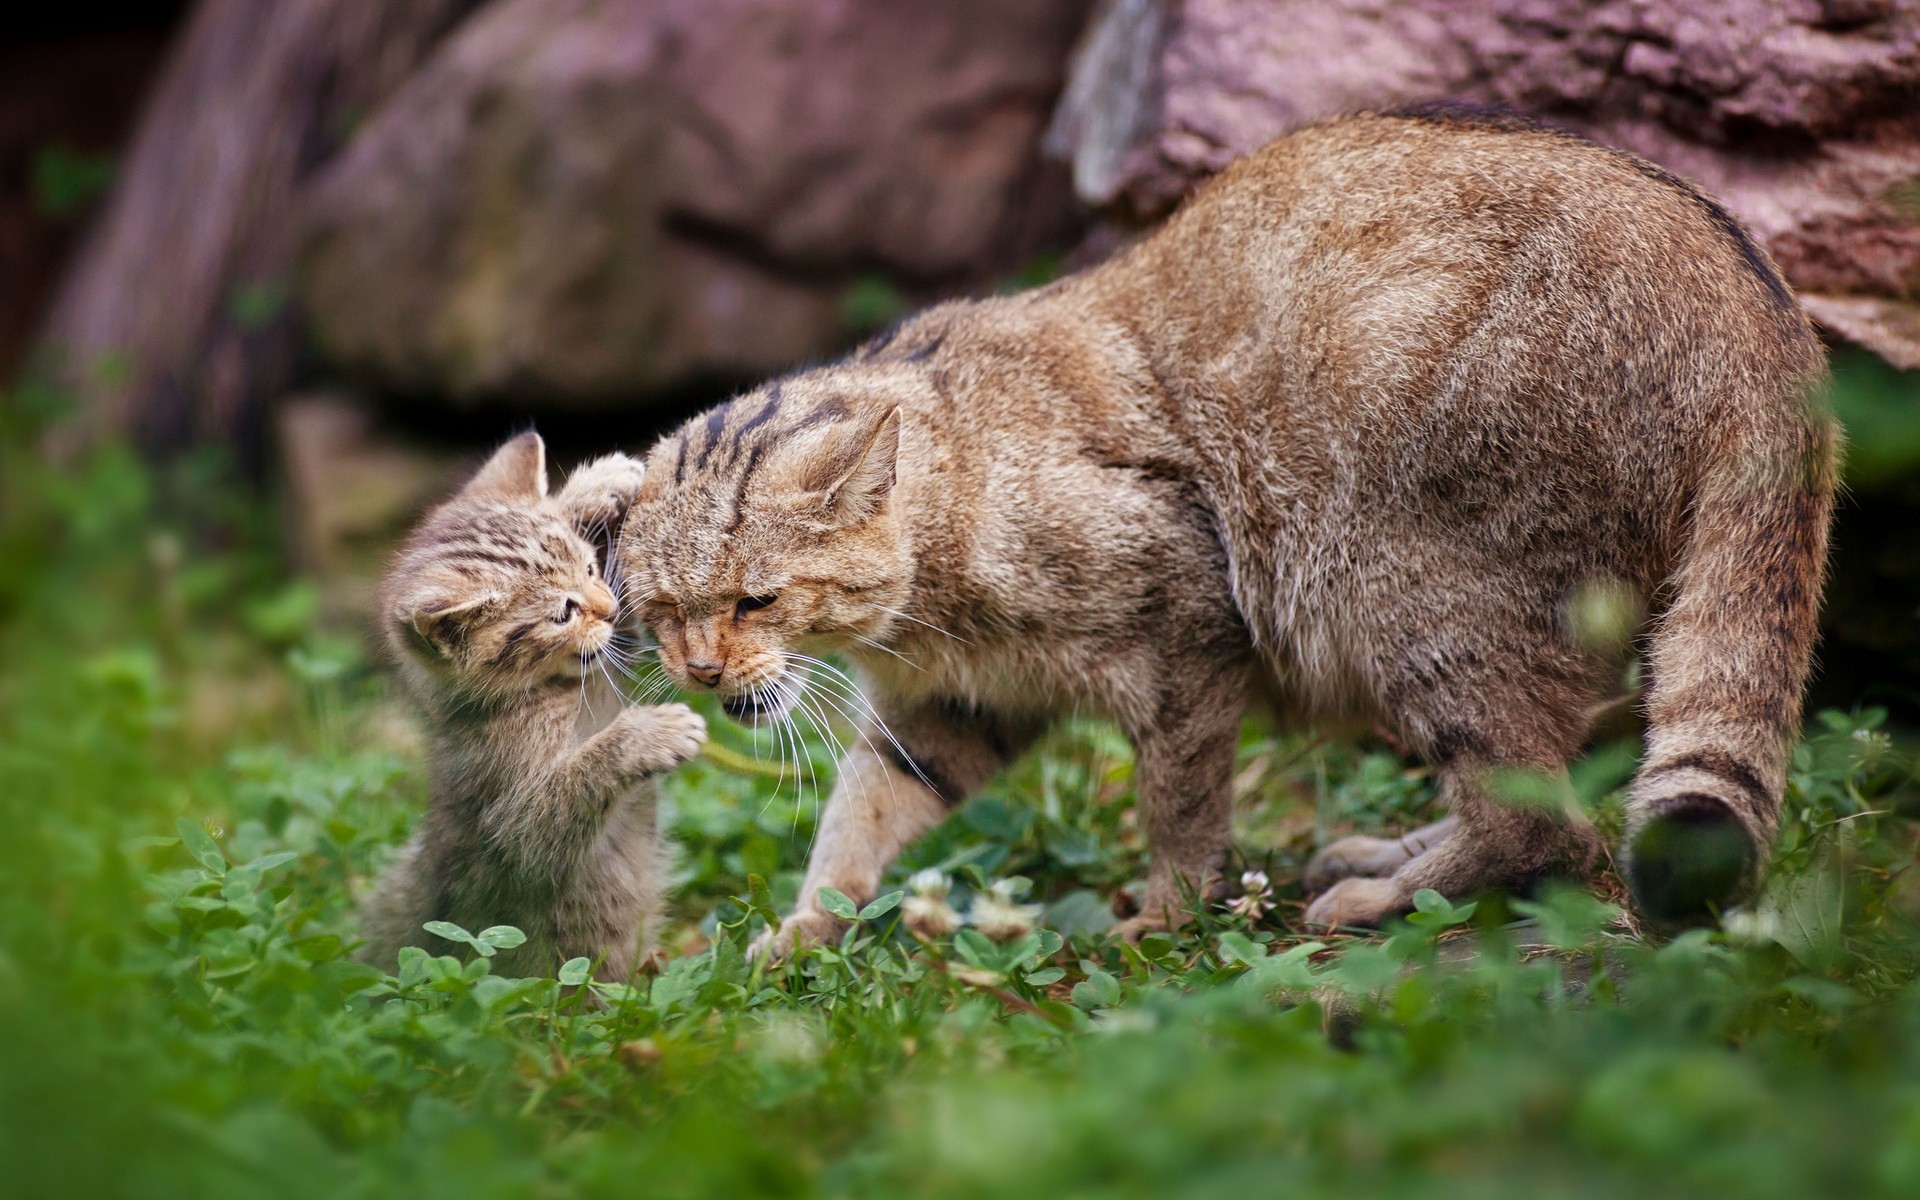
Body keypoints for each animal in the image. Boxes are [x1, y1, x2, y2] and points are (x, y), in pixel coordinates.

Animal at [360, 435, 706, 979]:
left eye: (590, 568)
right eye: (563, 613)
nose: (607, 608)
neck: (549, 690)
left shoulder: (612, 654)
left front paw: (597, 487)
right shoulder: (509, 822)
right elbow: (551, 815)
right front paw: (647, 736)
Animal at [622, 109, 1835, 944]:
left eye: (756, 598)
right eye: (665, 610)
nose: (699, 670)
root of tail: (1769, 324)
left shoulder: (1186, 633)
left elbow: (1181, 801)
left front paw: (1166, 914)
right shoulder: (953, 710)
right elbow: (864, 814)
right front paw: (805, 927)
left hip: (1412, 595)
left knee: (1543, 820)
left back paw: (1378, 894)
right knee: (1559, 783)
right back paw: (1387, 853)